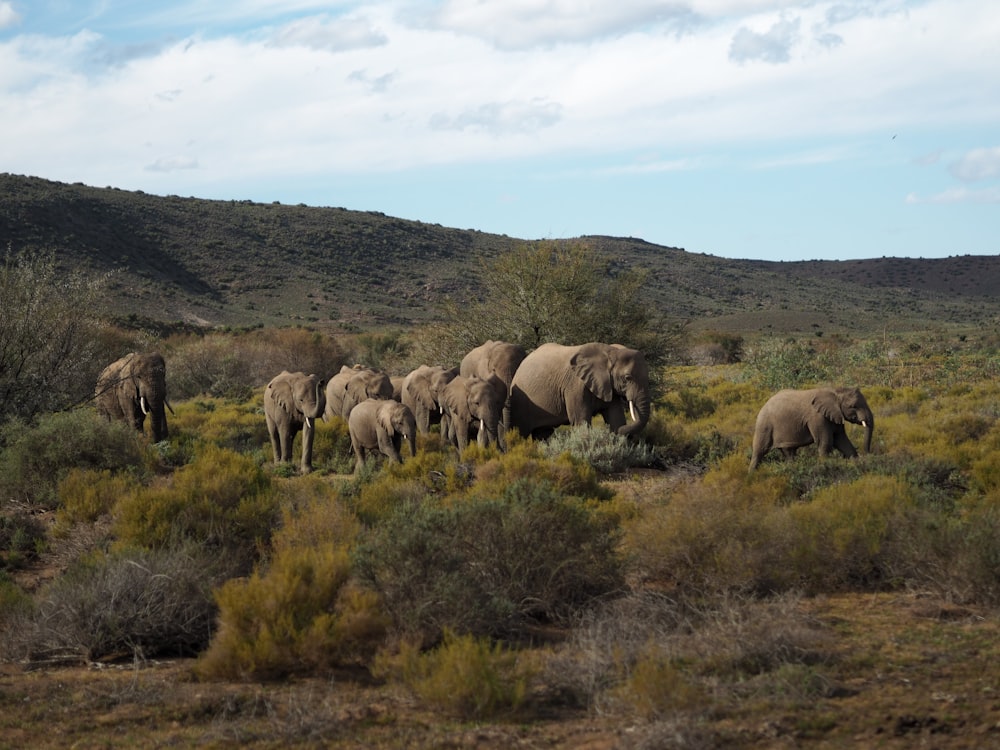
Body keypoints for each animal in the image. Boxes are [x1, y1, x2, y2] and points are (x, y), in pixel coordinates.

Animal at [512, 346, 652, 444]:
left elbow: (616, 418)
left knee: (542, 434)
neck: (610, 352)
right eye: (628, 378)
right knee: (520, 431)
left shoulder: (608, 386)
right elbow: (581, 420)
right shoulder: (575, 386)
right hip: (520, 400)